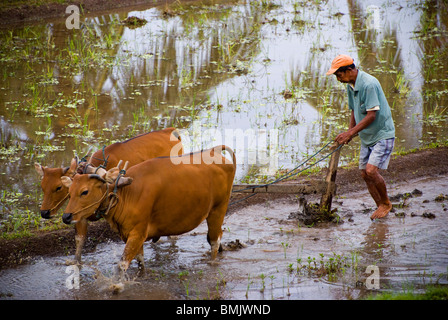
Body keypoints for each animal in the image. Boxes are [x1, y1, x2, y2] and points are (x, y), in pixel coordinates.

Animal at [34, 127, 183, 262]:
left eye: (58, 187)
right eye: (42, 187)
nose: (44, 213)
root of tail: (172, 131)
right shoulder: (80, 214)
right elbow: (79, 241)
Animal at [60, 146, 238, 274]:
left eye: (84, 191)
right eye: (69, 192)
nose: (66, 217)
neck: (126, 193)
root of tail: (217, 153)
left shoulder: (138, 234)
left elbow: (121, 265)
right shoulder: (130, 235)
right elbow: (140, 262)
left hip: (218, 210)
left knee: (214, 241)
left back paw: (212, 263)